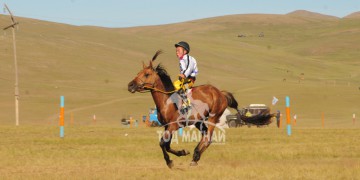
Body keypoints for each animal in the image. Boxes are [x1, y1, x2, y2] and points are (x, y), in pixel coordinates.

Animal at [128, 50, 272, 168]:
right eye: (138, 73)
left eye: (147, 74)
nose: (130, 85)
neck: (167, 101)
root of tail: (220, 93)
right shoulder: (167, 126)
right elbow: (166, 144)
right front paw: (180, 154)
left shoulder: (174, 125)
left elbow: (163, 143)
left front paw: (171, 160)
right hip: (199, 122)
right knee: (205, 137)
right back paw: (195, 156)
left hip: (213, 117)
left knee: (208, 138)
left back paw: (195, 156)